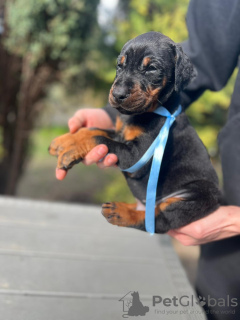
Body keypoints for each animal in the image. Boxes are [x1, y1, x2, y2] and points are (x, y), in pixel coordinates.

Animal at [48, 31, 221, 232]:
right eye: (119, 65)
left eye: (151, 68)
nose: (117, 94)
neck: (146, 112)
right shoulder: (120, 132)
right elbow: (93, 130)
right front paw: (64, 140)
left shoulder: (137, 157)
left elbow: (99, 139)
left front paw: (71, 151)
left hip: (196, 195)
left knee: (158, 220)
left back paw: (121, 212)